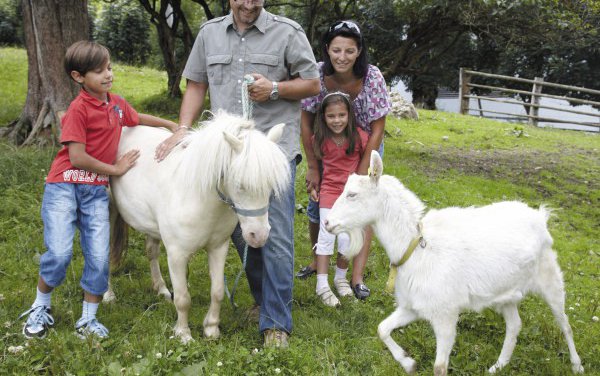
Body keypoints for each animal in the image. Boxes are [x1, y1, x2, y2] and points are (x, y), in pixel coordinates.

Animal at [107, 110, 290, 342]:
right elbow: (183, 298)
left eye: (270, 187)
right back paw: (108, 295)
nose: (259, 235)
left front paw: (211, 329)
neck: (195, 196)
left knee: (151, 252)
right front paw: (184, 334)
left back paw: (161, 289)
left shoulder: (218, 248)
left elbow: (218, 291)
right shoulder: (176, 254)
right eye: (239, 185)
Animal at [326, 151, 584, 376]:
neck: (418, 247)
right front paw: (409, 363)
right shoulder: (413, 307)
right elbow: (382, 329)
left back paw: (577, 365)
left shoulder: (446, 314)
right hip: (507, 293)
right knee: (514, 325)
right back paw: (497, 366)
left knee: (565, 323)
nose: (327, 222)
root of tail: (540, 216)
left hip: (550, 278)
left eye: (352, 194)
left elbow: (439, 368)